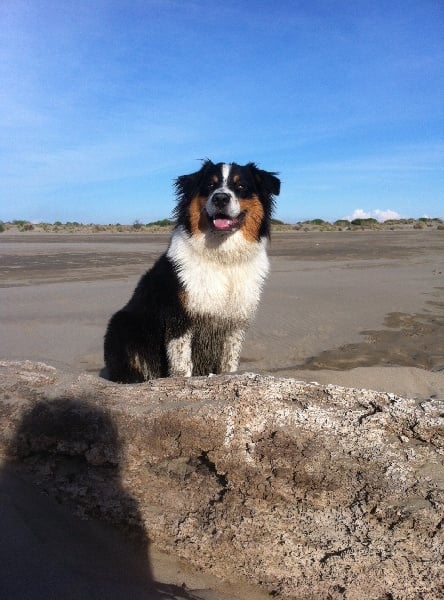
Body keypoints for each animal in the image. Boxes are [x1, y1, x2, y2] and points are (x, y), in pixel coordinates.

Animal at [102, 159, 280, 382]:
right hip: (122, 324)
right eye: (210, 185)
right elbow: (182, 364)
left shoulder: (235, 323)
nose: (220, 198)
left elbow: (229, 362)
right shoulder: (180, 317)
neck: (223, 259)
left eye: (241, 186)